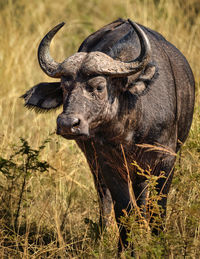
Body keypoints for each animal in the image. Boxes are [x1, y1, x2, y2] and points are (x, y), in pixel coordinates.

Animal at [21, 18, 195, 254]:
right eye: (64, 88)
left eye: (99, 86)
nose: (67, 124)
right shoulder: (109, 164)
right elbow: (123, 210)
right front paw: (126, 250)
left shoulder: (166, 160)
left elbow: (158, 210)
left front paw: (159, 246)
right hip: (96, 164)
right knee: (105, 199)